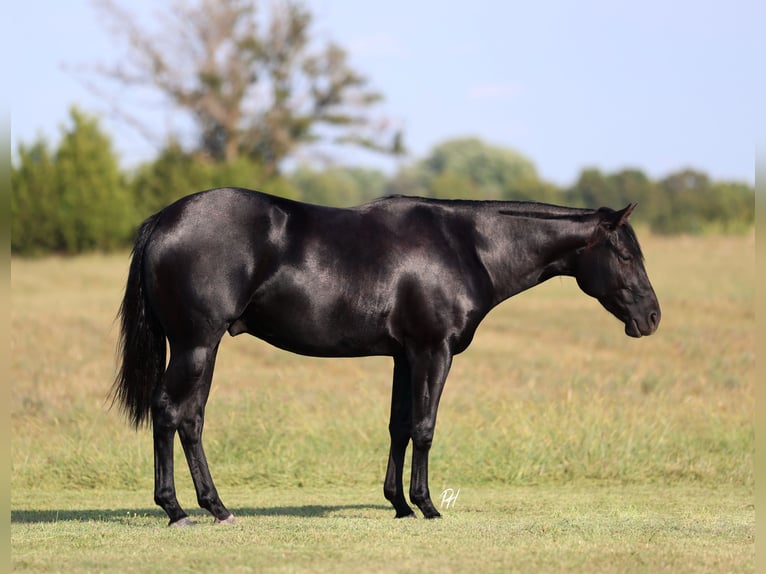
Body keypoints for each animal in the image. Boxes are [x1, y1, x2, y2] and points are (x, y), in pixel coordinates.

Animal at [112, 187, 660, 526]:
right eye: (625, 254)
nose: (652, 317)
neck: (466, 245)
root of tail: (163, 220)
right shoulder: (433, 351)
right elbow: (424, 427)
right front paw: (427, 506)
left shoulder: (404, 356)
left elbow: (399, 426)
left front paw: (399, 505)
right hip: (196, 345)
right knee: (170, 412)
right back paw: (178, 509)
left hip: (201, 349)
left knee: (190, 419)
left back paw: (214, 507)